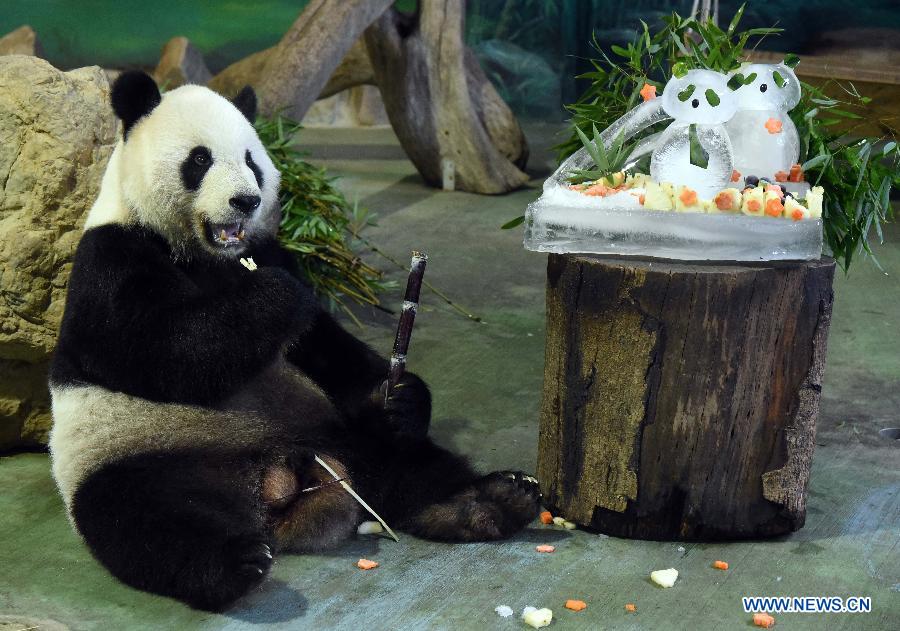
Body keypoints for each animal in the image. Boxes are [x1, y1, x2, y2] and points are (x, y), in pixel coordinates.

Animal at [49, 73, 536, 612]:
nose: (245, 201)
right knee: (148, 519)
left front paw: (401, 396)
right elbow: (161, 350)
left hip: (333, 434)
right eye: (199, 160)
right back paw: (234, 564)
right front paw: (273, 297)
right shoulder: (111, 259)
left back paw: (490, 501)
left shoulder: (271, 251)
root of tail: (275, 484)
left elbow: (329, 347)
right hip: (135, 458)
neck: (206, 255)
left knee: (405, 460)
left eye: (251, 162)